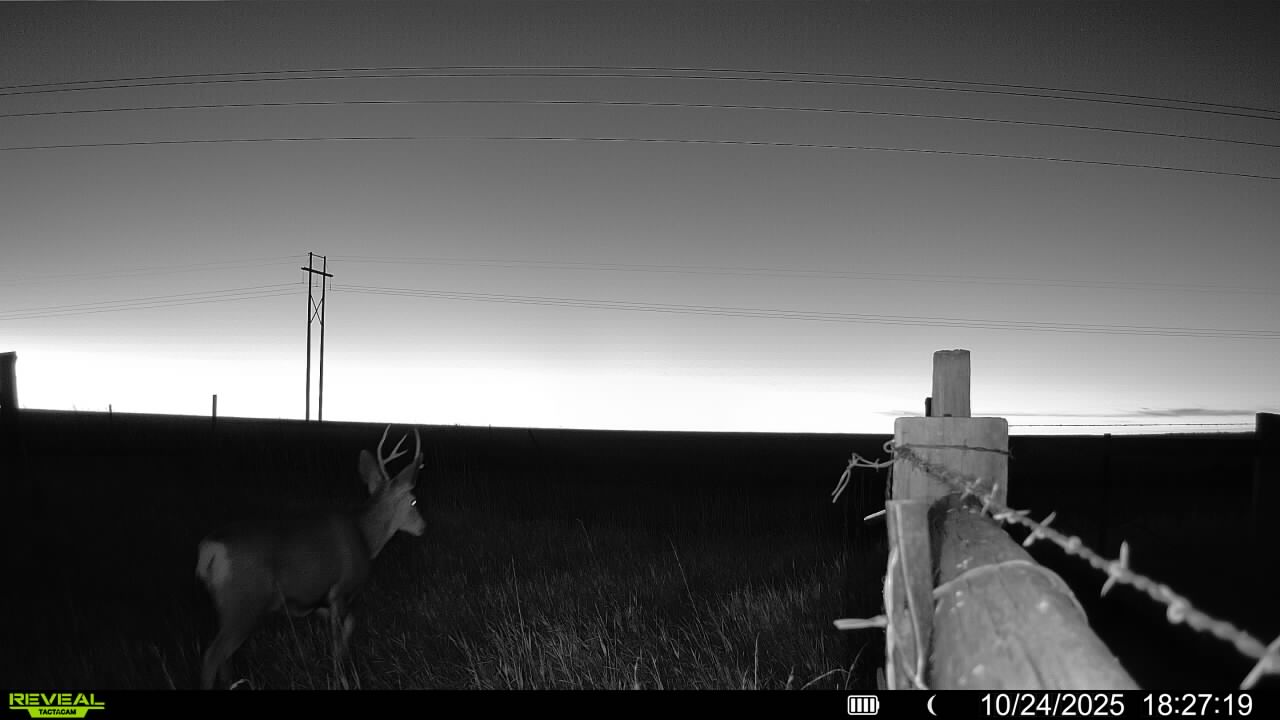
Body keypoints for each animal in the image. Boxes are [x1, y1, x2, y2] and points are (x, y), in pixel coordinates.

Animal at [195, 425, 426, 690]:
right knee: (212, 656)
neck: (365, 537)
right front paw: (341, 677)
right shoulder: (342, 591)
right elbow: (342, 636)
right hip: (243, 602)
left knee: (224, 658)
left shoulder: (317, 601)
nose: (423, 526)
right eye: (414, 501)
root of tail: (210, 549)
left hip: (226, 606)